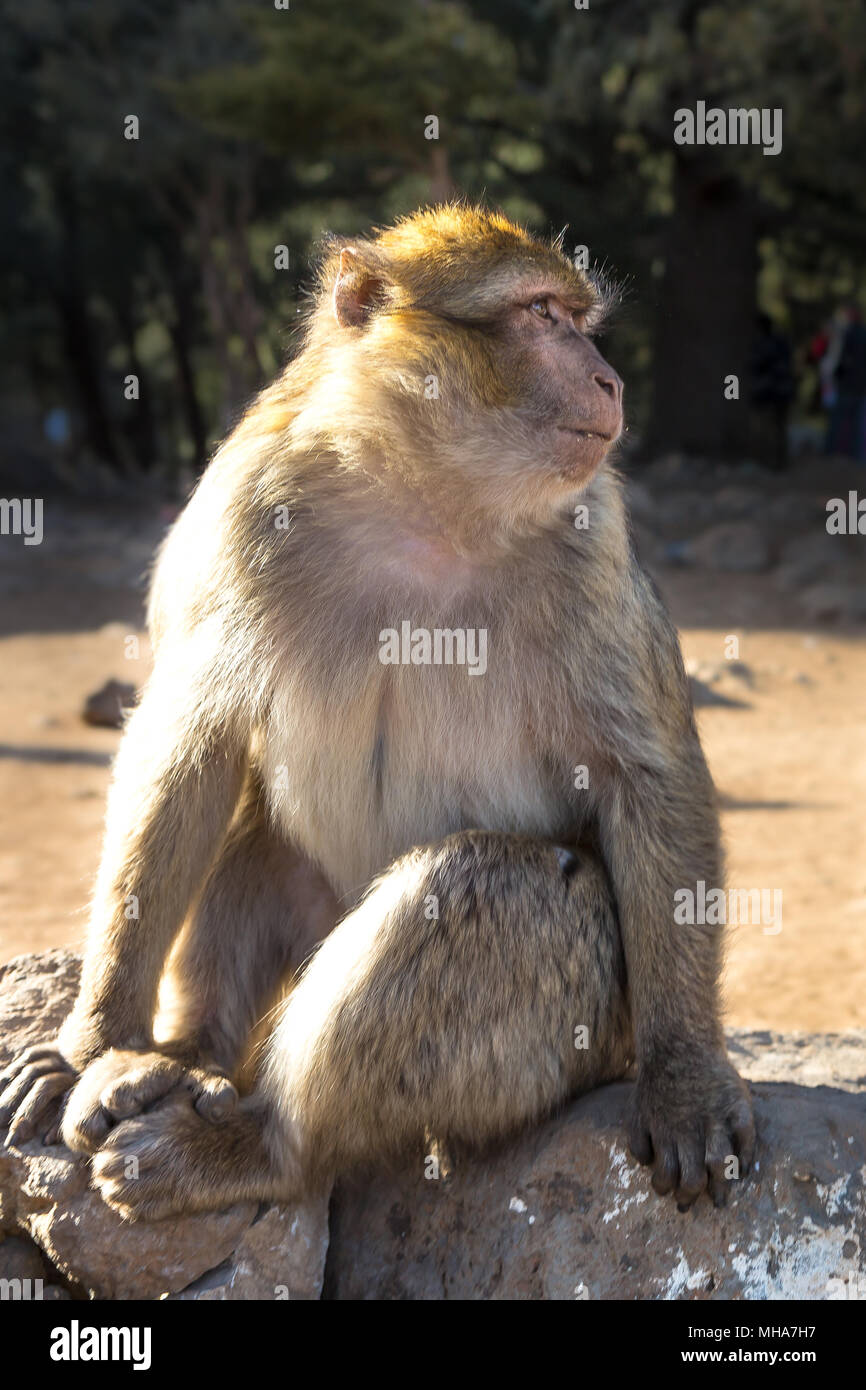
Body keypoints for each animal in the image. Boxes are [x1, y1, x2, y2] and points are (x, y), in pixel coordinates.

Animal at [0, 205, 750, 1217]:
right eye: (542, 314)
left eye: (576, 319)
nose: (609, 379)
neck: (425, 501)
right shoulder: (243, 508)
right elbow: (190, 747)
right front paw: (92, 1044)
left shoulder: (592, 543)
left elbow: (646, 776)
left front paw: (686, 1077)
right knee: (260, 839)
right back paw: (184, 1064)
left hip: (595, 1035)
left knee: (506, 888)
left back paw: (260, 1144)